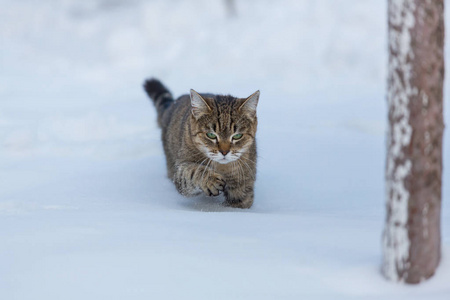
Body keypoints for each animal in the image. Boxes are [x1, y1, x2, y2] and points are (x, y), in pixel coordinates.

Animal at [142, 78, 258, 209]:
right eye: (211, 135)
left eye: (237, 136)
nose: (224, 152)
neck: (222, 167)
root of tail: (173, 103)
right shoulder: (181, 171)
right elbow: (192, 171)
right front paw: (210, 179)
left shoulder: (242, 190)